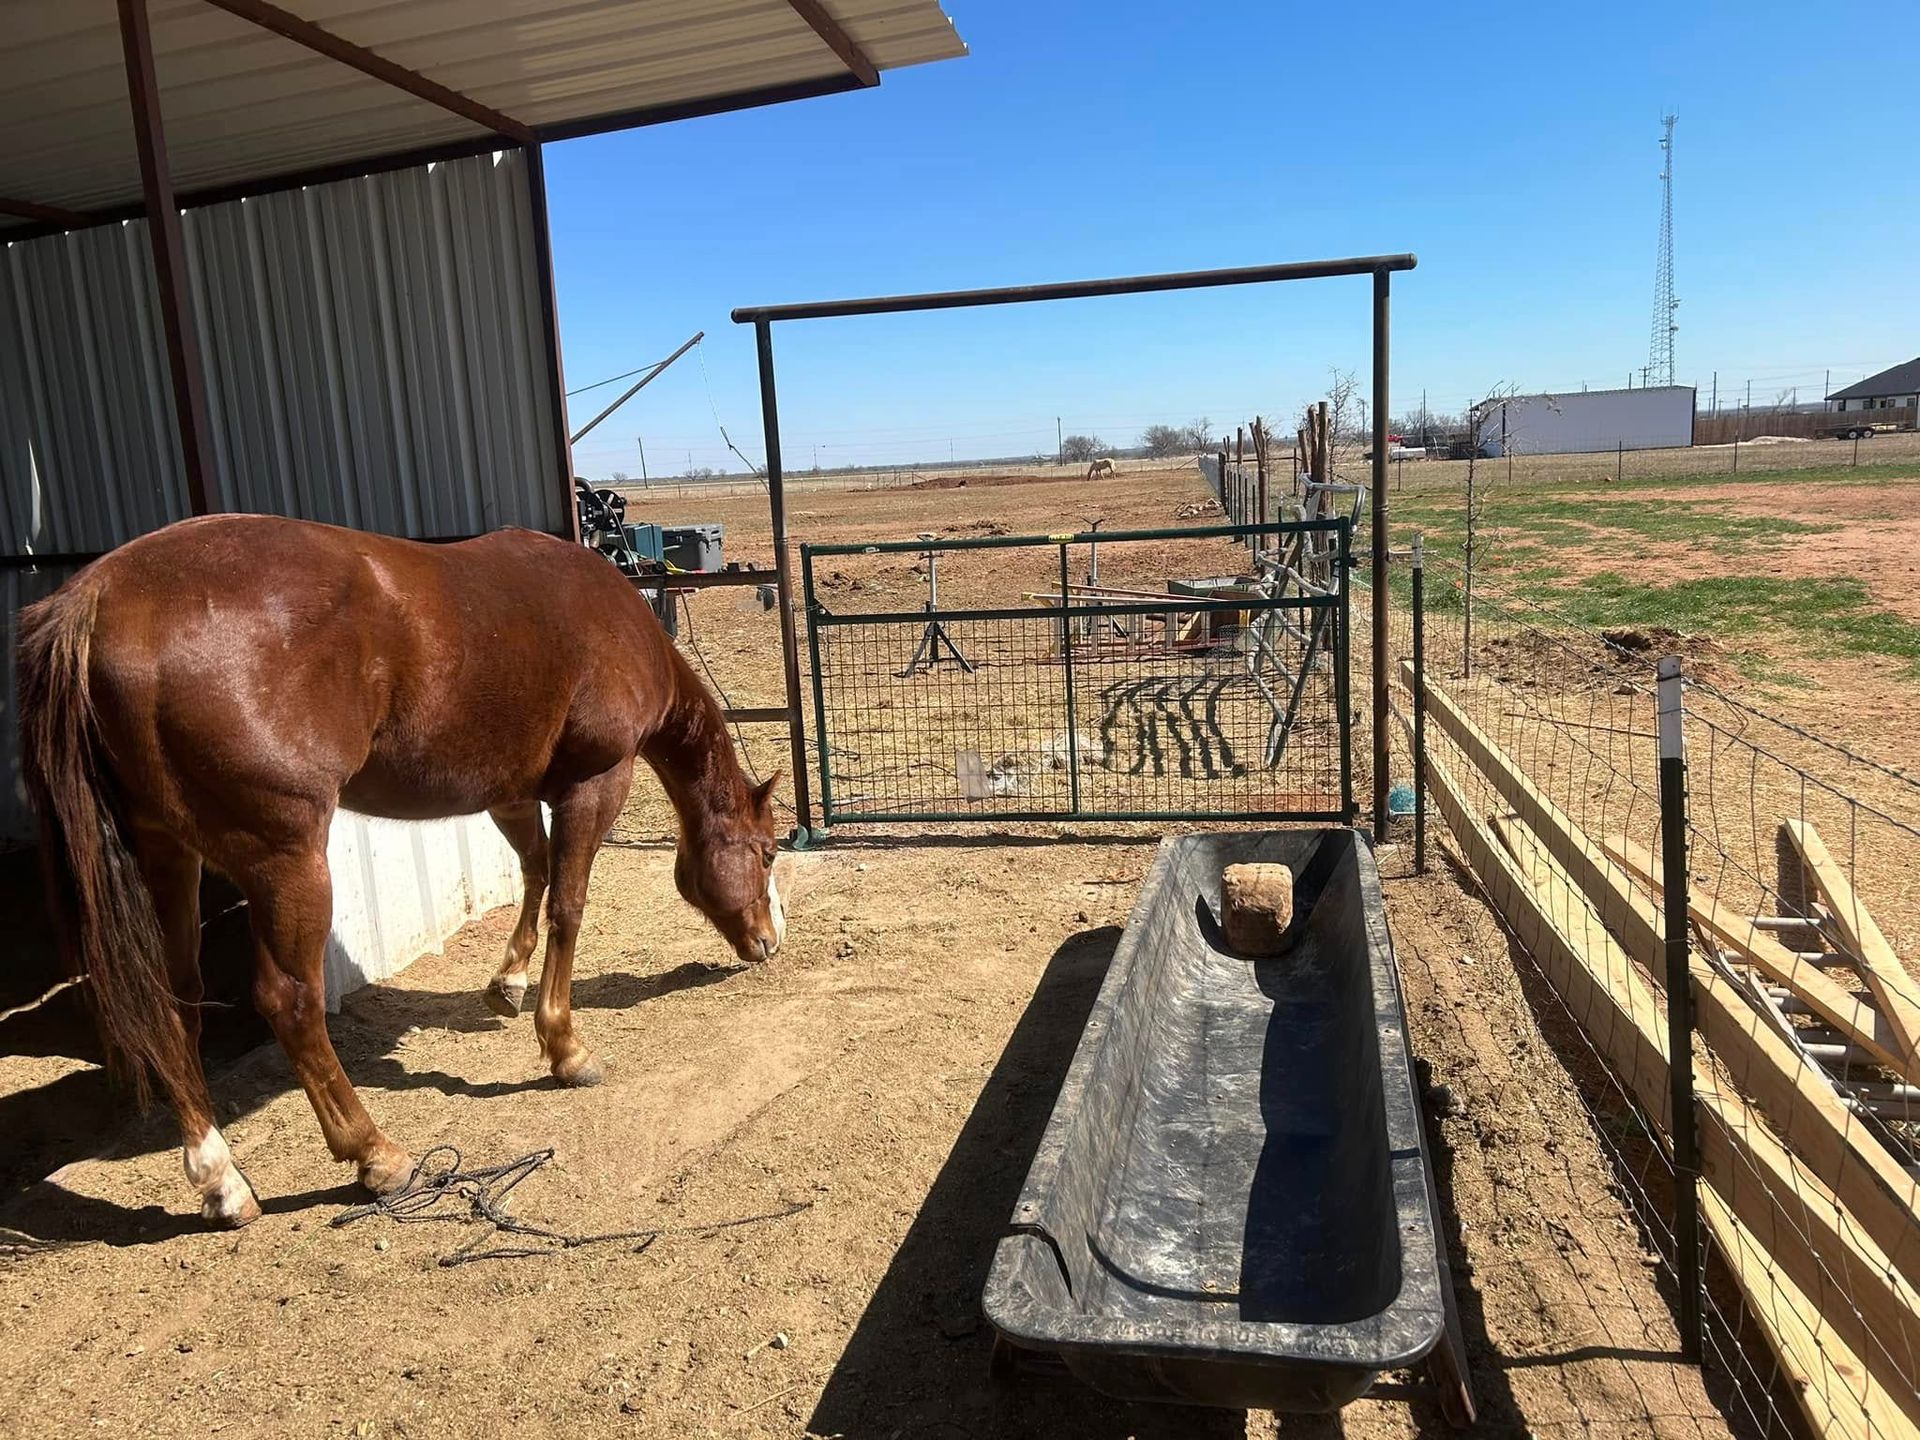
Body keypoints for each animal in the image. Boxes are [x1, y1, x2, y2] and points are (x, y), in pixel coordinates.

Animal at [16, 514, 784, 1228]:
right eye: (770, 851)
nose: (768, 944)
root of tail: (99, 597)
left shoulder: (508, 792)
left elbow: (533, 873)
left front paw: (507, 983)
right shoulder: (593, 784)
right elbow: (567, 905)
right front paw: (565, 1047)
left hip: (167, 857)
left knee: (176, 1003)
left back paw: (221, 1181)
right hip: (285, 860)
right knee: (288, 1001)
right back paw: (375, 1155)